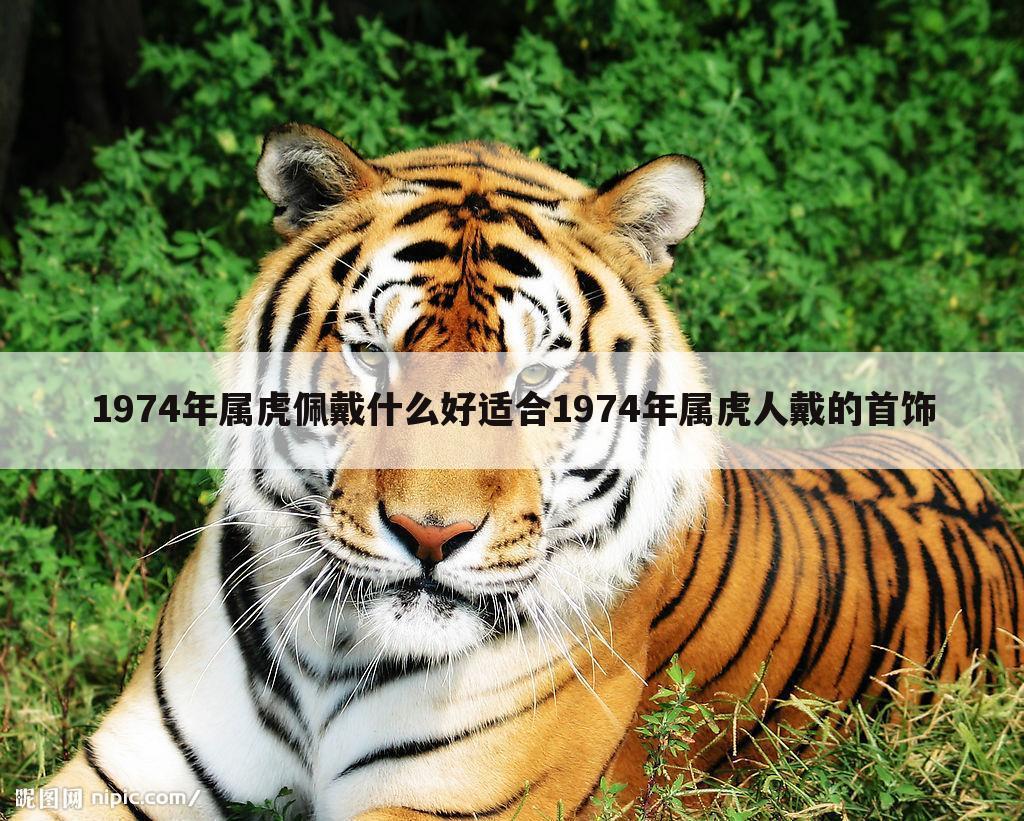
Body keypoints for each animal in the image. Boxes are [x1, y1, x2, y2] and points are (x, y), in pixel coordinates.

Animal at [18, 124, 1024, 820]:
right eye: (373, 356)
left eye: (535, 379)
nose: (430, 535)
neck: (334, 649)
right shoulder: (126, 772)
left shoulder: (445, 804)